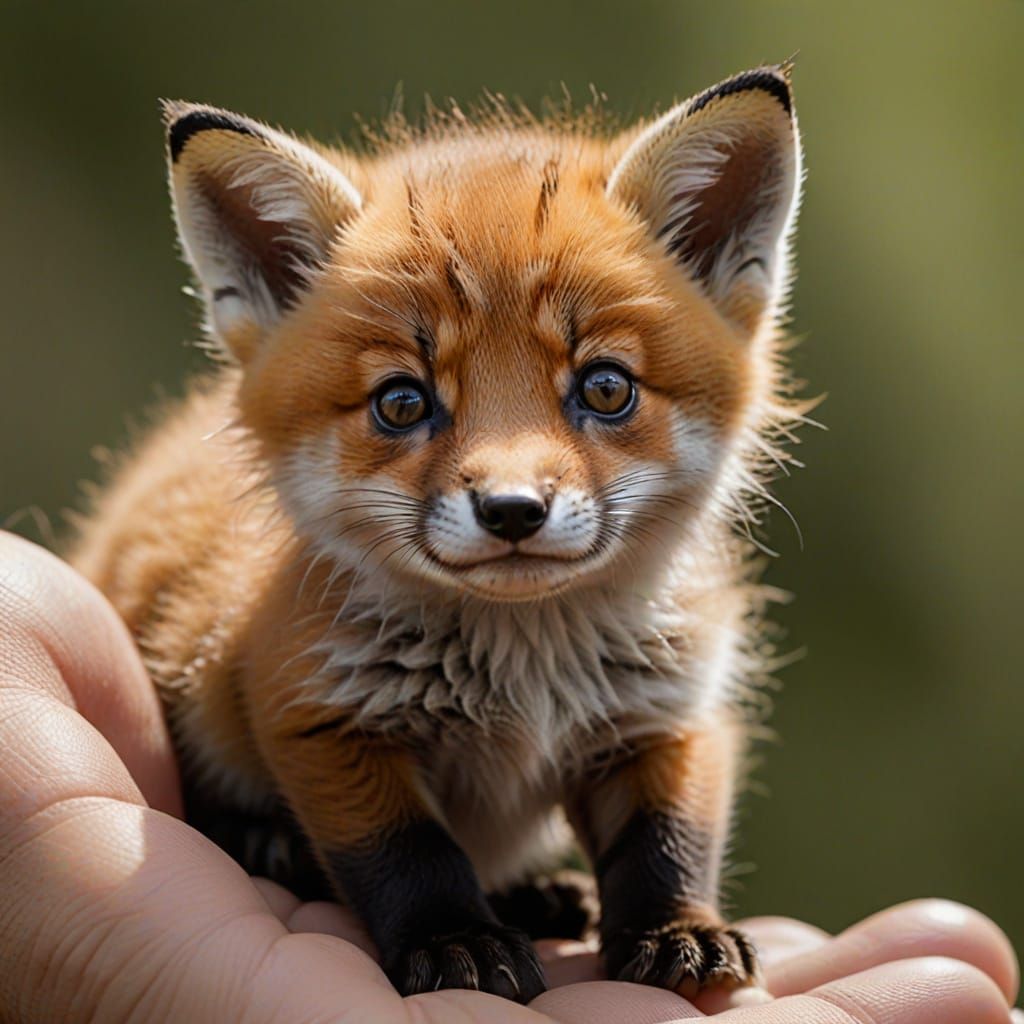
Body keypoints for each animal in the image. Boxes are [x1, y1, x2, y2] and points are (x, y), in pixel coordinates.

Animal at [69, 63, 806, 1004]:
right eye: (401, 401)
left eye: (606, 388)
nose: (513, 509)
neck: (524, 668)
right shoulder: (320, 714)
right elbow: (408, 852)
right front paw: (457, 941)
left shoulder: (670, 713)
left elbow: (667, 838)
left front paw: (677, 929)